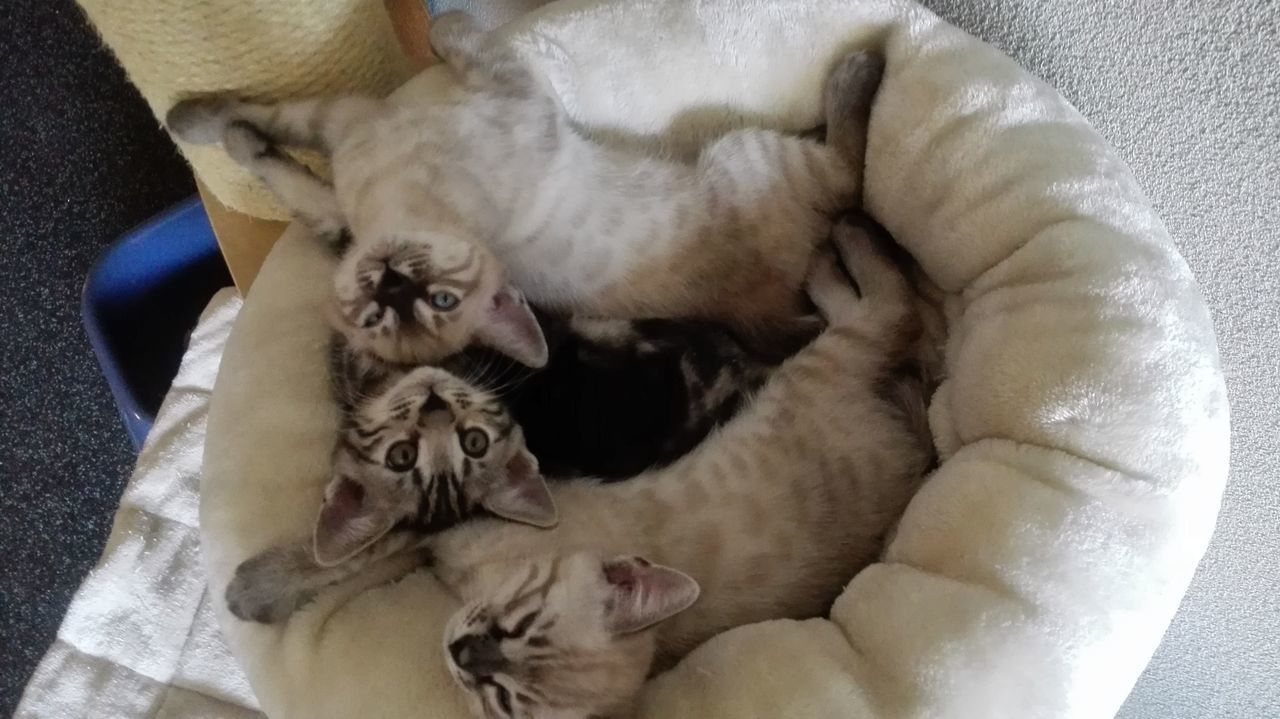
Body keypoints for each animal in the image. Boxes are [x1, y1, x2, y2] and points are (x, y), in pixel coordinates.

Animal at [167, 13, 890, 363]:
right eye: (377, 316)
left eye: (439, 298)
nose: (389, 277)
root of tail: (759, 315)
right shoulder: (361, 139)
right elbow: (269, 141)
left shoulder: (350, 124)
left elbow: (257, 123)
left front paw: (192, 121)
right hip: (744, 153)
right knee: (845, 178)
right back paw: (861, 68)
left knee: (847, 177)